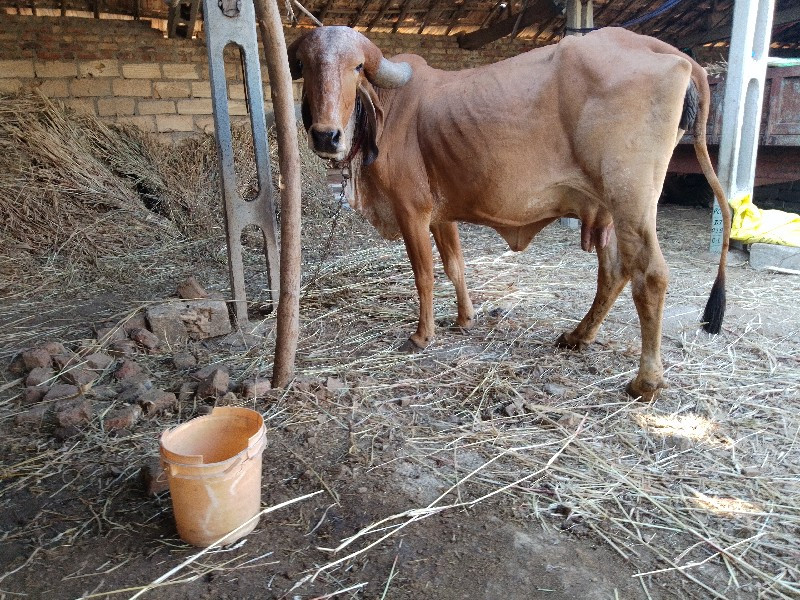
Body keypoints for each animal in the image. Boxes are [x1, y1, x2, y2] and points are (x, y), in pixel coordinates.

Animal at [288, 25, 732, 400]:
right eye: (306, 66)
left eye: (356, 67)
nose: (326, 135)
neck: (388, 110)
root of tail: (665, 51)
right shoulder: (441, 214)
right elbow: (455, 266)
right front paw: (465, 319)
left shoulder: (411, 210)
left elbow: (424, 276)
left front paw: (421, 335)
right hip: (607, 209)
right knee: (614, 272)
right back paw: (578, 337)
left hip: (632, 201)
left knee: (650, 276)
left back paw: (646, 381)